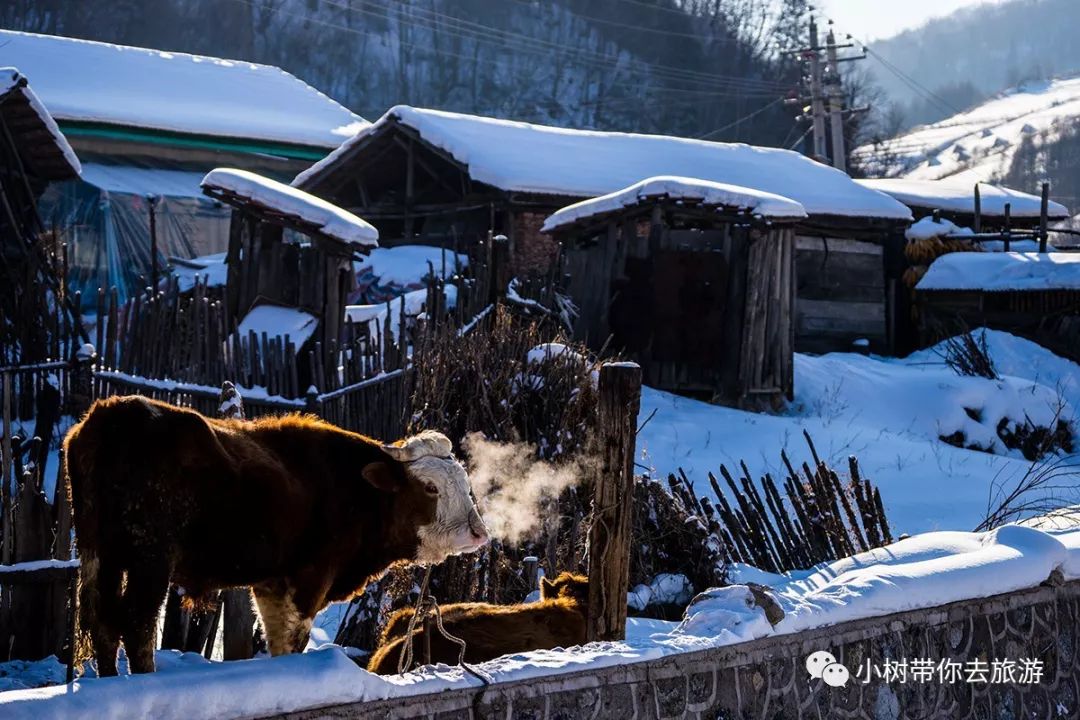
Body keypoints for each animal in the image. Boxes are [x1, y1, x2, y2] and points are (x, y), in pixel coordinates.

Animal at [65, 395, 488, 677]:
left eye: (464, 482)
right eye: (431, 488)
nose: (479, 532)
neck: (353, 487)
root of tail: (108, 415)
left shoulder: (271, 583)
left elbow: (275, 637)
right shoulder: (311, 578)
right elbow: (292, 641)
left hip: (98, 554)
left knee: (102, 623)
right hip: (149, 559)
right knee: (136, 625)